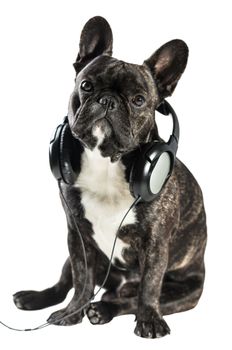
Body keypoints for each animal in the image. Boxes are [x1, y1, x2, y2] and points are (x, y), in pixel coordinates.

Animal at [13, 17, 208, 340]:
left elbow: (149, 287)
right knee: (66, 283)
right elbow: (81, 280)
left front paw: (149, 321)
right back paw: (36, 298)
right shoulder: (78, 236)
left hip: (186, 292)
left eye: (139, 100)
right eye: (86, 85)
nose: (107, 100)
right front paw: (71, 314)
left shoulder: (155, 244)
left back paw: (104, 309)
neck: (106, 162)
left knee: (129, 299)